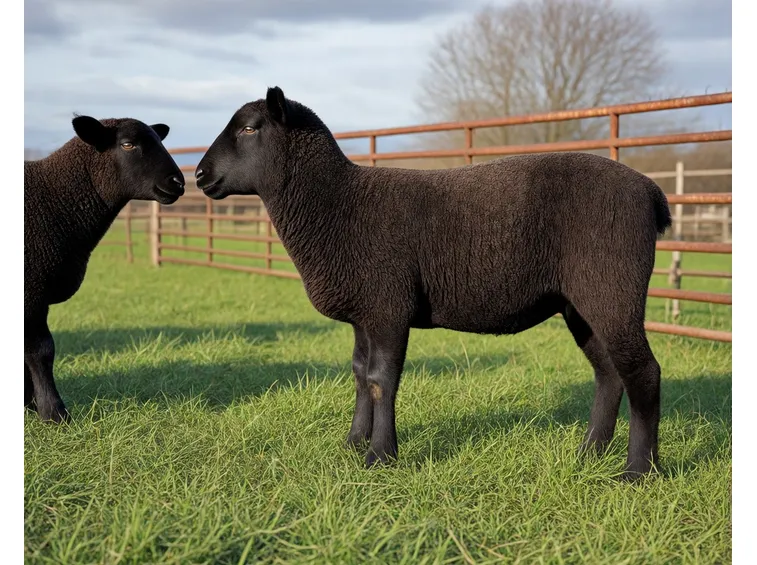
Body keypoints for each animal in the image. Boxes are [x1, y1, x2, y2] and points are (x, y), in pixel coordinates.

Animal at [25, 116, 185, 423]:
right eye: (128, 144)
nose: (178, 183)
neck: (54, 202)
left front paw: (29, 405)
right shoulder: (31, 288)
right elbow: (41, 350)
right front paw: (54, 413)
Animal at [195, 87, 672, 480]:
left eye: (250, 128)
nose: (198, 175)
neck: (338, 203)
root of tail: (651, 192)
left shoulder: (388, 306)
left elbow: (382, 379)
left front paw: (380, 457)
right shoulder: (364, 312)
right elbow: (359, 374)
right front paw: (353, 443)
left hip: (613, 288)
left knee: (642, 371)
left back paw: (638, 471)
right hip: (581, 303)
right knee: (609, 372)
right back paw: (589, 453)